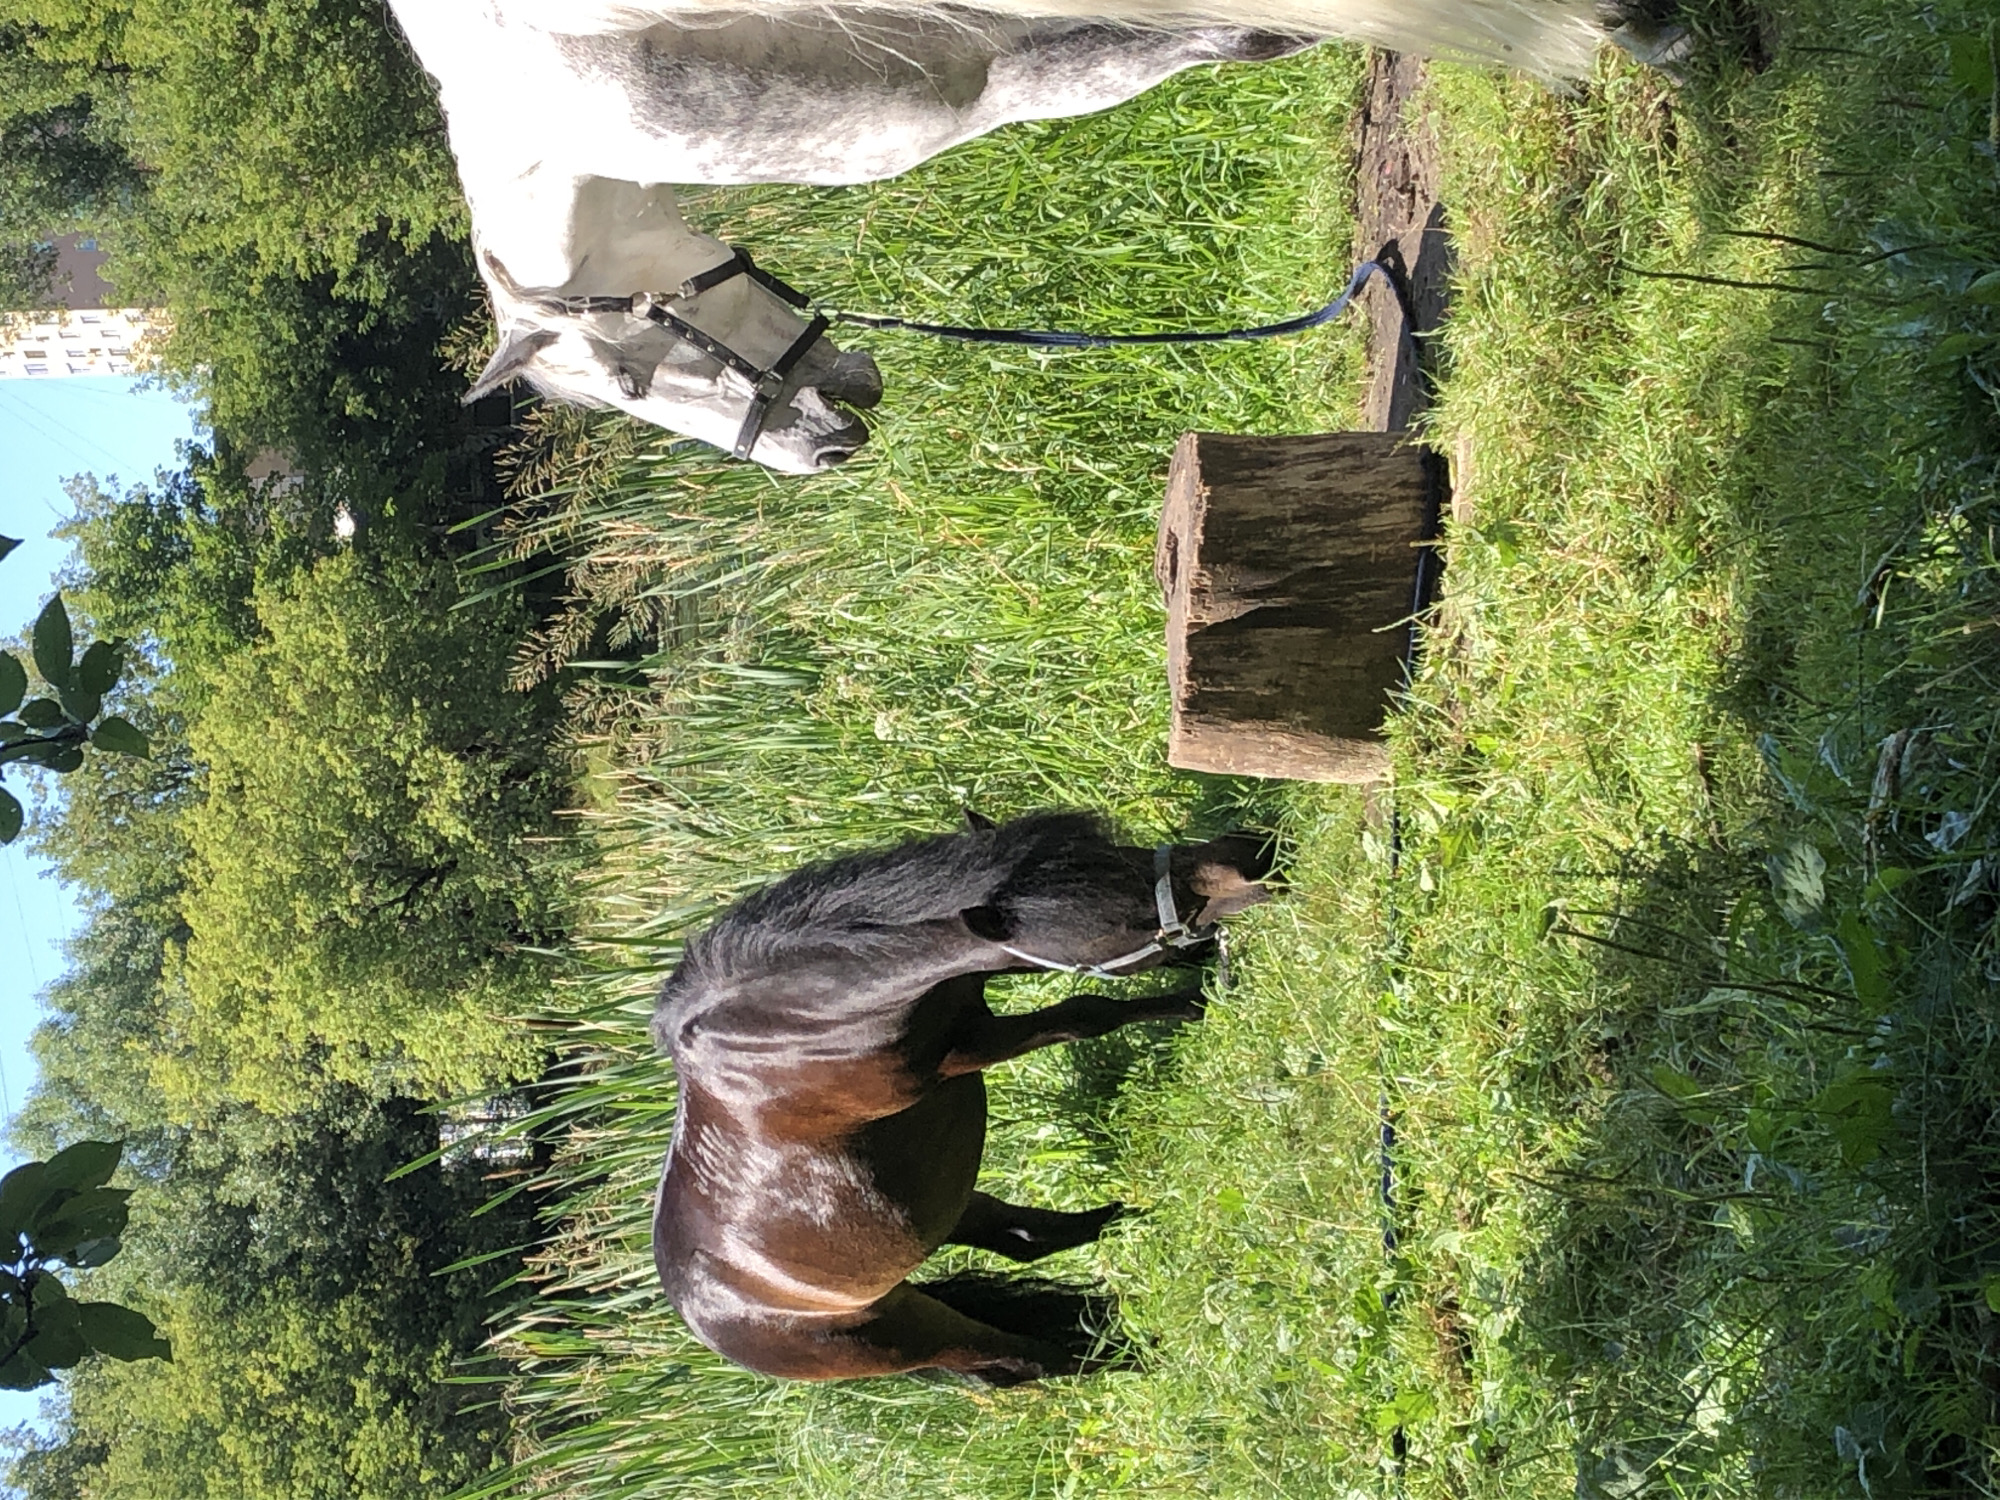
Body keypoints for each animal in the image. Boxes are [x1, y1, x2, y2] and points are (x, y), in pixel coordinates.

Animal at [649, 810, 1273, 1382]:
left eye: (1129, 851)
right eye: (1126, 921)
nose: (1253, 856)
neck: (794, 1021)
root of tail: (708, 1319)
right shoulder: (964, 1051)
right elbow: (1086, 1013)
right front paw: (1195, 1000)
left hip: (945, 1213)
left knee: (1025, 1239)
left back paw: (1138, 1218)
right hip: (909, 1336)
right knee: (1033, 1357)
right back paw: (1132, 1357)